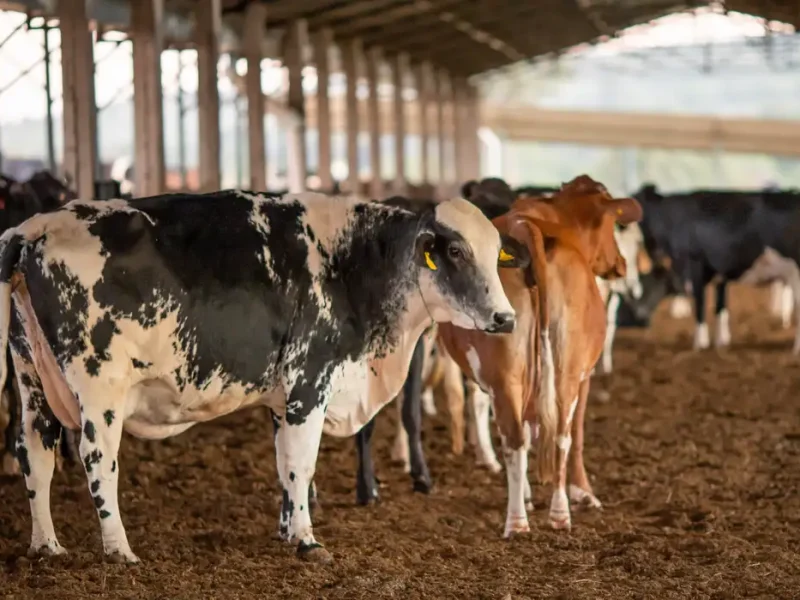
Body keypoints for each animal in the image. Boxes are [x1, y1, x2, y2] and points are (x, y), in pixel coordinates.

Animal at [0, 190, 528, 564]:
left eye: (495, 252)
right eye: (455, 251)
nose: (506, 318)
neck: (353, 264)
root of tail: (35, 227)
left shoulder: (282, 396)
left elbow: (283, 463)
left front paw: (288, 529)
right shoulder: (309, 382)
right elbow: (302, 463)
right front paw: (308, 541)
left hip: (31, 375)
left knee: (35, 451)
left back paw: (47, 545)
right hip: (100, 385)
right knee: (97, 458)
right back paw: (119, 549)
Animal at [438, 175, 644, 536]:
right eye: (612, 225)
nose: (620, 264)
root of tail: (525, 228)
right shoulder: (584, 376)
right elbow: (577, 435)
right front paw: (584, 492)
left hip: (513, 375)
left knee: (529, 436)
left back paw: (539, 515)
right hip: (561, 372)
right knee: (551, 435)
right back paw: (531, 517)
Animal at [636, 183, 800, 352]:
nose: (653, 252)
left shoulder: (695, 264)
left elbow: (700, 304)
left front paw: (700, 345)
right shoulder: (720, 273)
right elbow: (720, 306)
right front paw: (721, 343)